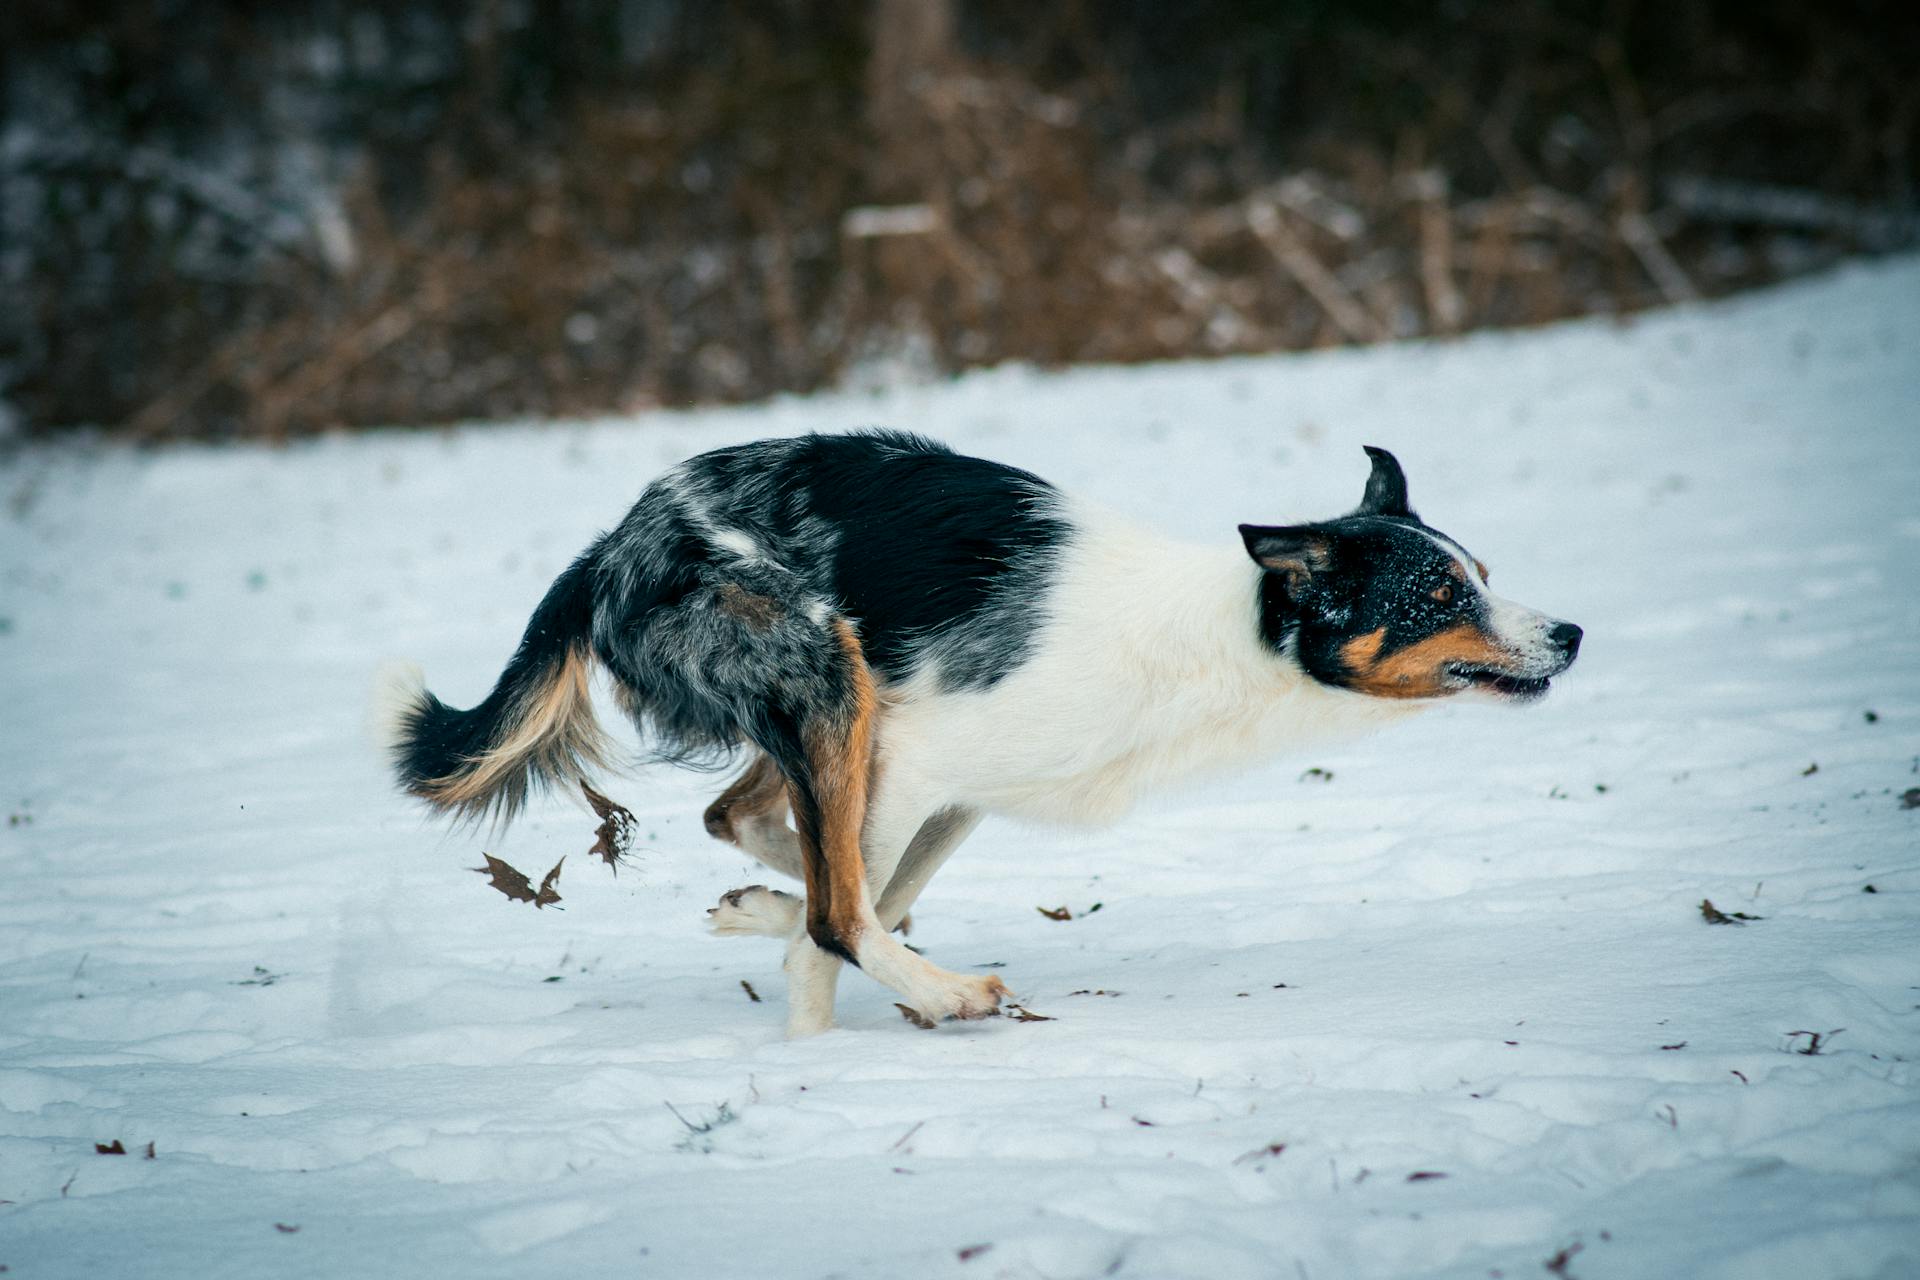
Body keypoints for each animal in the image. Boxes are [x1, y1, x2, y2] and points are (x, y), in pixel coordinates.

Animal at [382, 435, 1582, 1036]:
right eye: (1441, 593)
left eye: (1479, 573)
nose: (1570, 633)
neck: (1219, 637)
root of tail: (609, 547)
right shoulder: (916, 766)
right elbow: (838, 922)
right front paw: (821, 1060)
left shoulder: (956, 796)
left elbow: (863, 890)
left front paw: (776, 951)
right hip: (825, 675)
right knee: (831, 899)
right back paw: (938, 987)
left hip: (829, 713)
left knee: (751, 823)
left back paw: (765, 905)